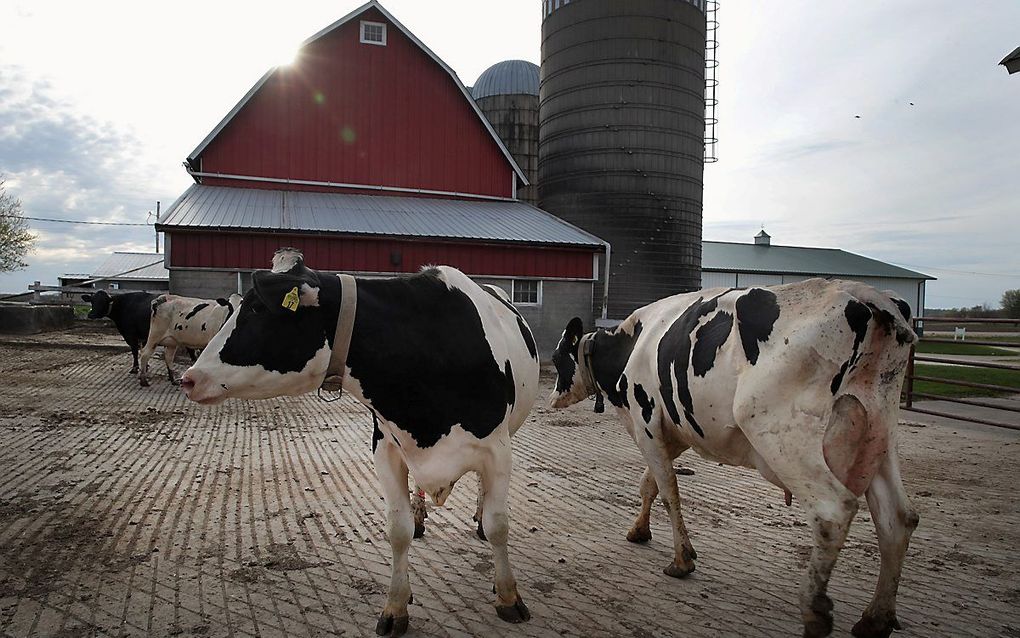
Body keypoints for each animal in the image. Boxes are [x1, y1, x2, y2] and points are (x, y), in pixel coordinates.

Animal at [177, 251, 542, 632]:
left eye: (257, 309)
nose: (189, 379)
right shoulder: (386, 447)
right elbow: (398, 530)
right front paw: (396, 606)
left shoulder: (498, 450)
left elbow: (499, 525)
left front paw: (508, 596)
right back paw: (421, 515)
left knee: (485, 497)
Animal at [554, 277, 922, 636]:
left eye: (558, 359)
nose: (553, 397)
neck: (633, 344)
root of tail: (869, 296)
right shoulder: (677, 431)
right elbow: (650, 484)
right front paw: (640, 531)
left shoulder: (646, 423)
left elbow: (668, 489)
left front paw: (681, 560)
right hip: (878, 435)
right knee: (898, 517)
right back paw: (875, 618)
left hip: (779, 433)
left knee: (833, 511)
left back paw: (815, 611)